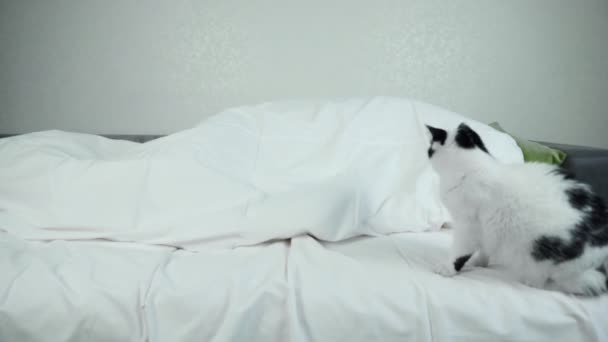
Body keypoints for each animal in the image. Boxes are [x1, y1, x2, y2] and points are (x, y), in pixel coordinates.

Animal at [428, 123, 608, 296]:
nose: (427, 152)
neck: (472, 167)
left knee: (542, 281)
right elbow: (485, 248)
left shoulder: (468, 224)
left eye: (430, 149)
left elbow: (460, 251)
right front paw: (480, 262)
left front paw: (448, 268)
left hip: (541, 252)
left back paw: (529, 281)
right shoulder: (487, 229)